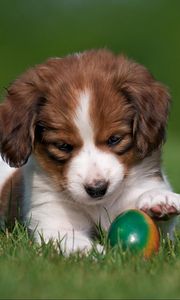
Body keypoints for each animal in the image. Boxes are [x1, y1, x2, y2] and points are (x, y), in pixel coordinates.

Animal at [0, 49, 179, 253]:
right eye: (63, 146)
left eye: (114, 139)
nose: (97, 189)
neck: (99, 205)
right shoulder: (53, 223)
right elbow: (76, 244)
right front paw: (102, 254)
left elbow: (160, 230)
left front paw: (158, 200)